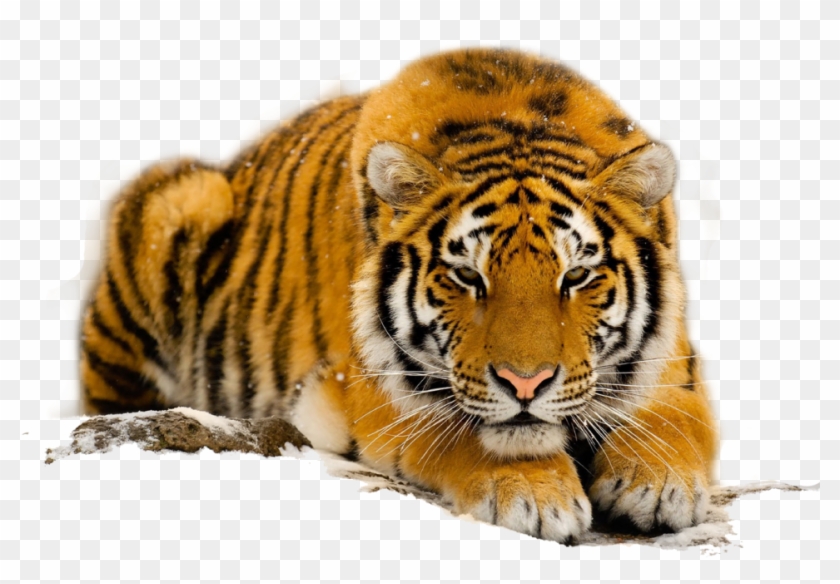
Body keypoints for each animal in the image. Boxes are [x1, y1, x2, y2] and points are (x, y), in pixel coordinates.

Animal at [80, 48, 717, 542]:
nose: (526, 383)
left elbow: (675, 419)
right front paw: (534, 495)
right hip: (179, 201)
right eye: (468, 277)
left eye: (576, 276)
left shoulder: (675, 364)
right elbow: (464, 430)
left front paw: (658, 484)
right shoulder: (372, 388)